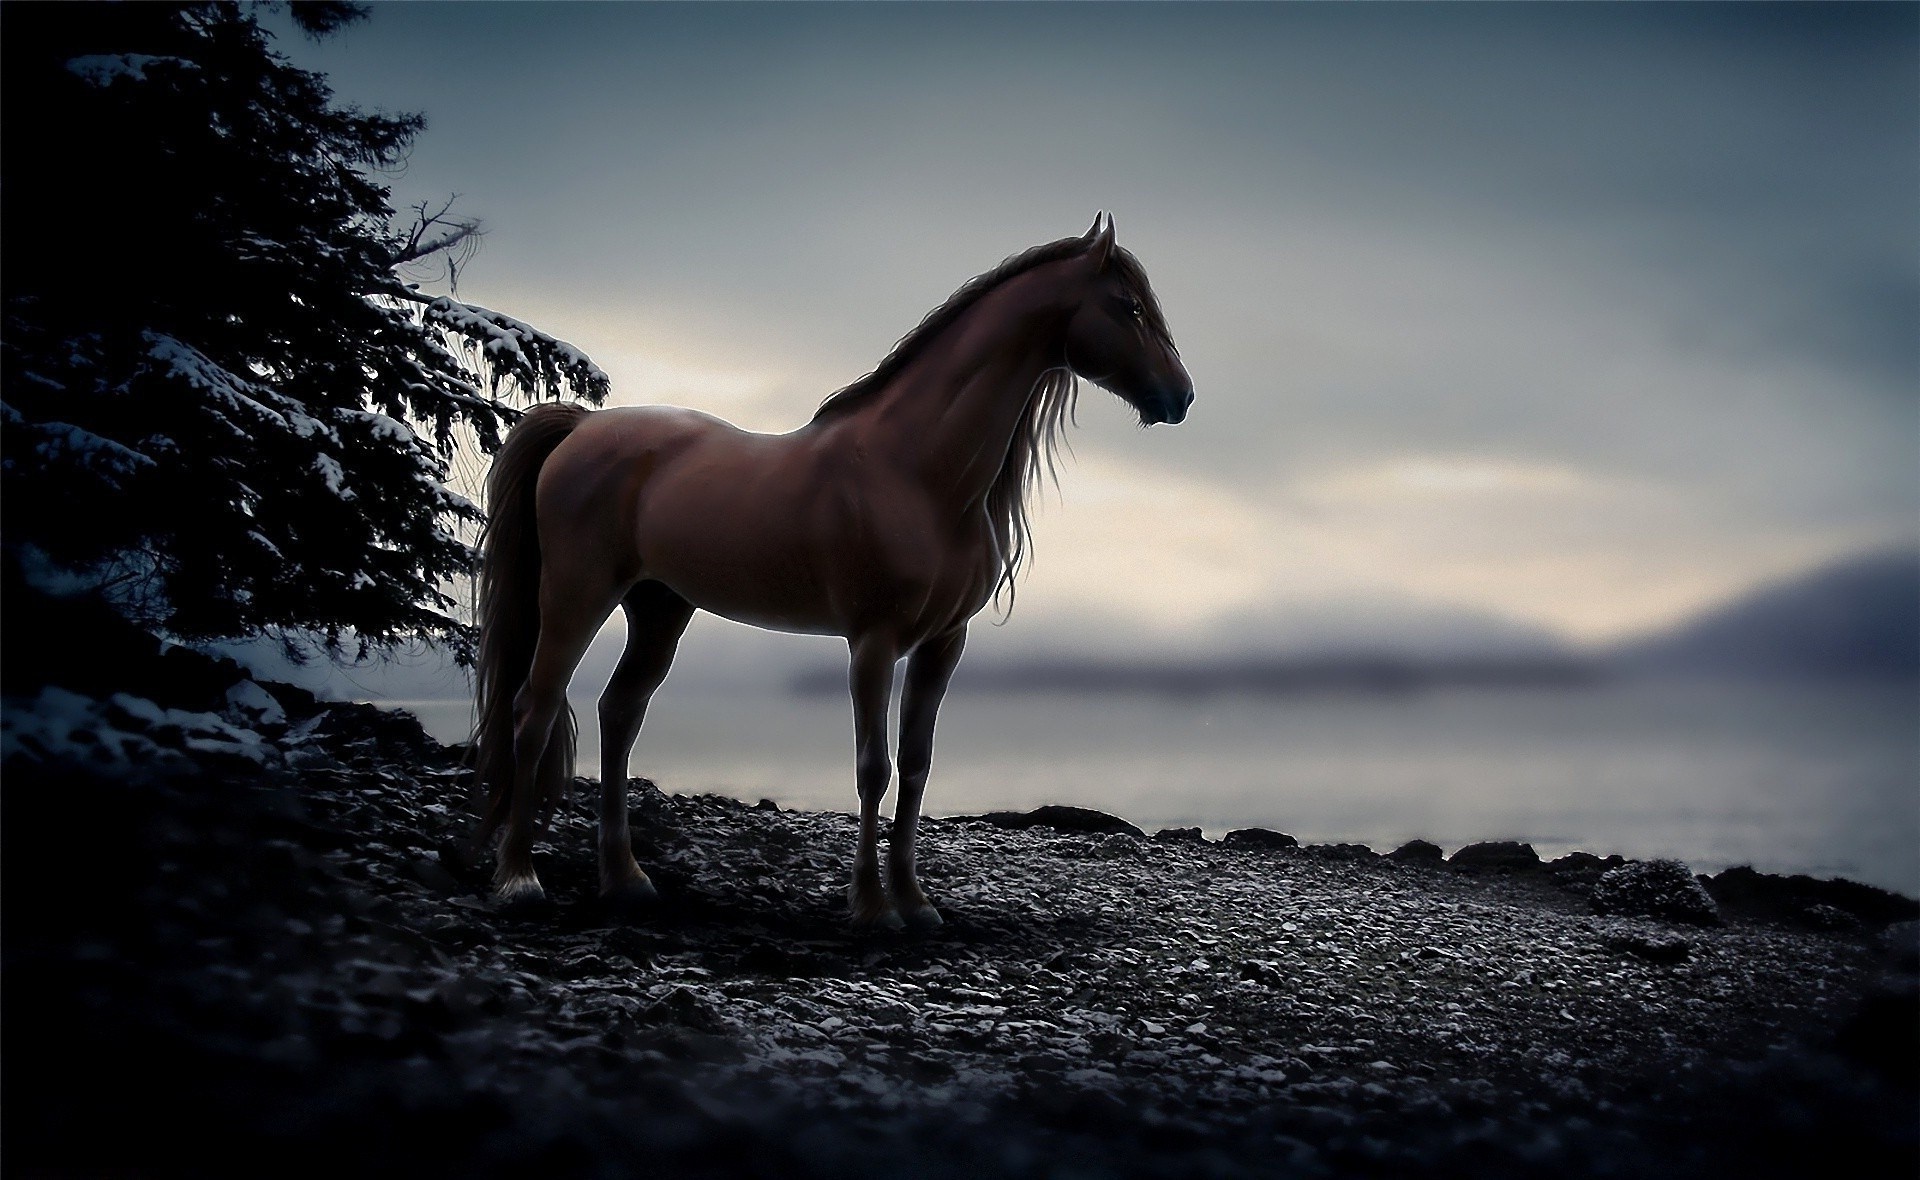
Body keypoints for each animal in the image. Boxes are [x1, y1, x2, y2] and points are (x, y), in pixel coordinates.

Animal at [466, 216, 1190, 928]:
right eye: (1128, 307)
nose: (1180, 395)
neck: (914, 470)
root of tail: (581, 428)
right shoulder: (872, 642)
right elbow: (873, 768)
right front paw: (871, 907)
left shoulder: (942, 643)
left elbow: (917, 766)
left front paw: (915, 902)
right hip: (576, 595)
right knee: (534, 711)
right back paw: (520, 878)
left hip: (660, 607)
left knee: (619, 714)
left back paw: (626, 880)